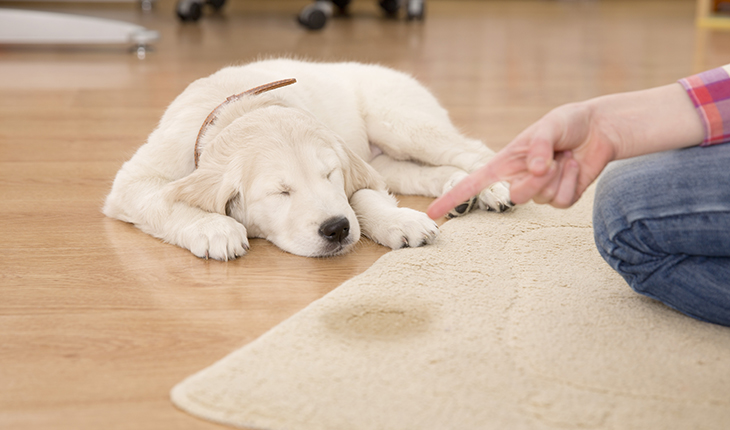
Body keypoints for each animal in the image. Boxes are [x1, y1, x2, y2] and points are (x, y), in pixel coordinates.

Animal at [104, 58, 512, 260]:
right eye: (281, 193)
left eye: (329, 175)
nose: (337, 229)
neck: (240, 109)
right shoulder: (133, 182)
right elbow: (165, 201)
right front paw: (214, 229)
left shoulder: (353, 168)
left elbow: (362, 198)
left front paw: (399, 221)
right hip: (386, 156)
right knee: (421, 172)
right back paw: (459, 191)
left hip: (401, 123)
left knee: (473, 150)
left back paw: (492, 188)